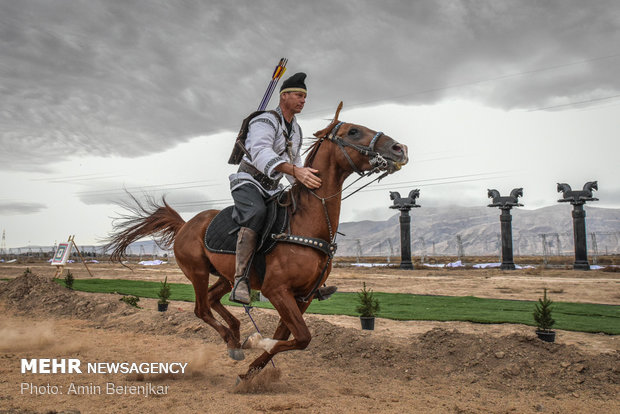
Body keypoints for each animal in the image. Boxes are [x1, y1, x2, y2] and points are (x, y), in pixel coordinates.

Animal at [104, 104, 410, 382]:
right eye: (353, 131)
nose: (399, 148)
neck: (305, 222)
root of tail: (186, 225)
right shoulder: (277, 290)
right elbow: (301, 337)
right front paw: (256, 343)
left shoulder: (304, 296)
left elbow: (289, 336)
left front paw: (251, 370)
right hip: (198, 272)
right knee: (201, 308)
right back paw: (233, 340)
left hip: (228, 276)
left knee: (215, 299)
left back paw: (235, 335)